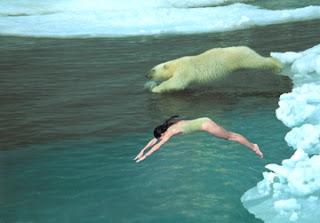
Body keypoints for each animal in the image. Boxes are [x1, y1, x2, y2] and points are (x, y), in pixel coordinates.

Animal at [145, 46, 282, 93]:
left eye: (153, 70)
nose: (146, 75)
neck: (176, 64)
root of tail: (247, 47)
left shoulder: (184, 70)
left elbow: (177, 82)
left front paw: (155, 88)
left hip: (242, 57)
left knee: (258, 61)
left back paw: (278, 65)